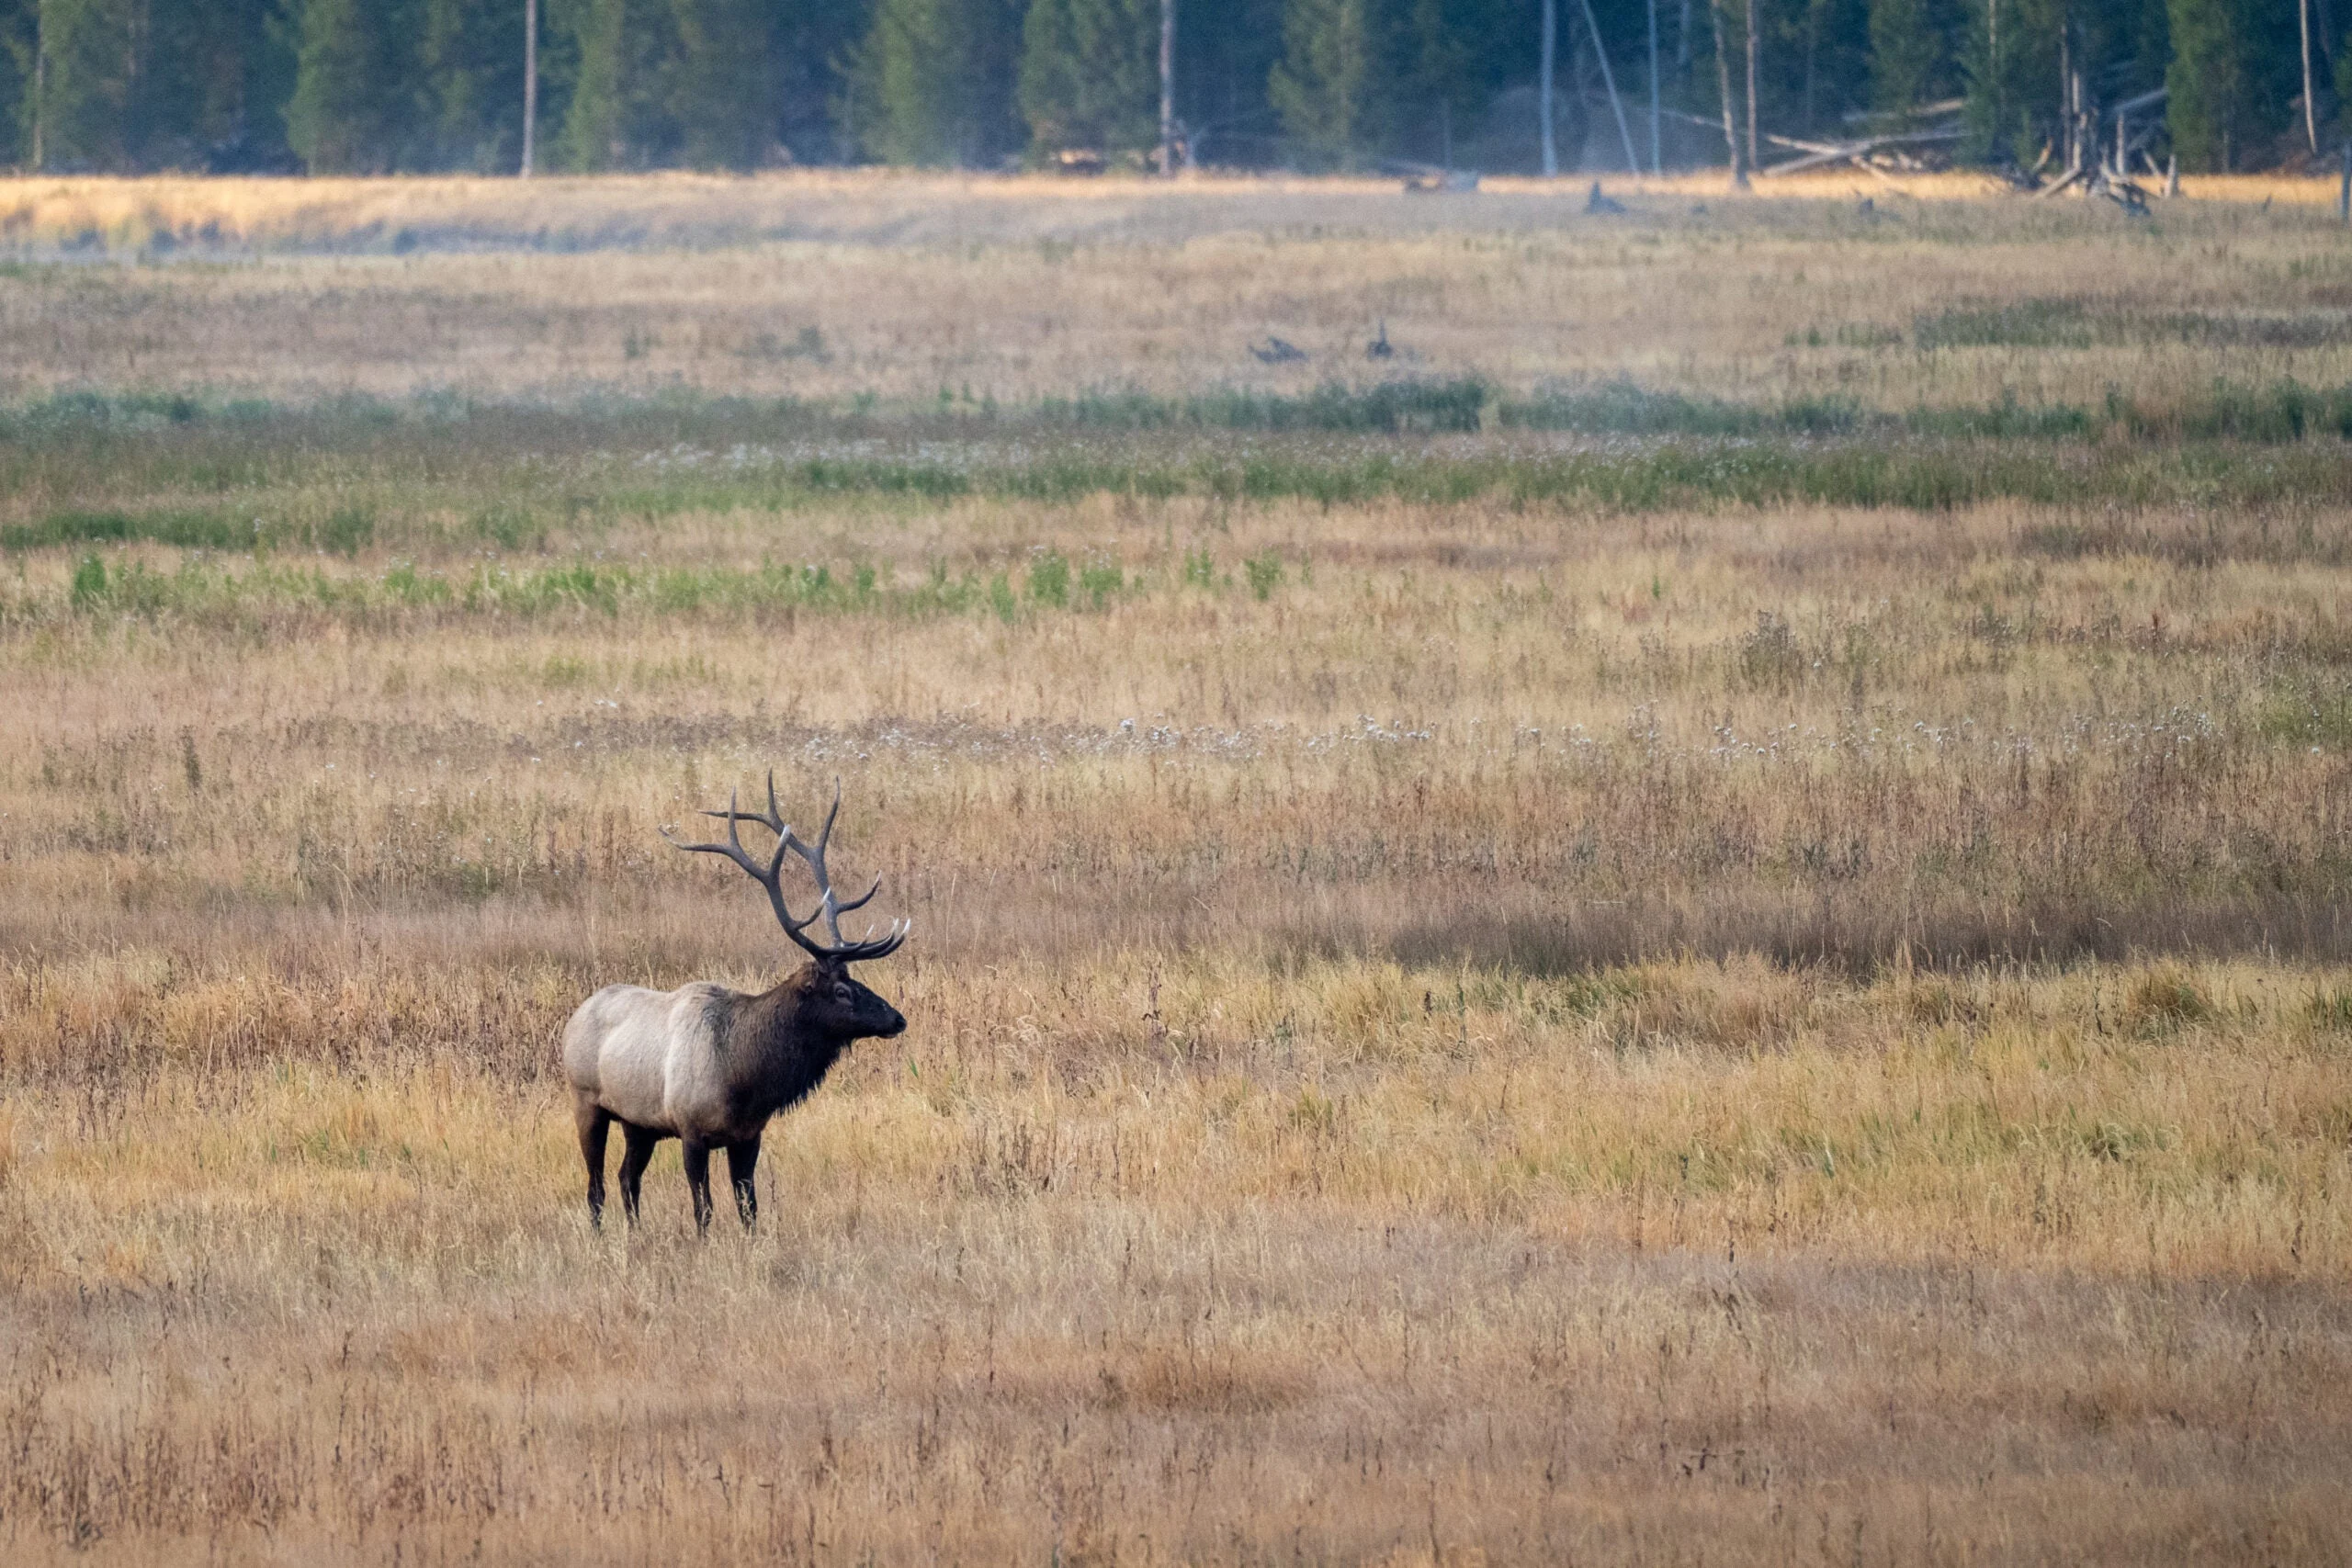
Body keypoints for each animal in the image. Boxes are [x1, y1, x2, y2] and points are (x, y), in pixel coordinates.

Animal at [560, 780, 908, 1232]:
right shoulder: (690, 1129)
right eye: (841, 991)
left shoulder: (747, 1135)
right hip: (586, 1100)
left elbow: (749, 1208)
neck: (744, 1079)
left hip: (639, 1123)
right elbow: (703, 1208)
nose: (897, 1019)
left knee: (626, 1178)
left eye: (855, 981)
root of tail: (574, 1018)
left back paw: (635, 1233)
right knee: (596, 1184)